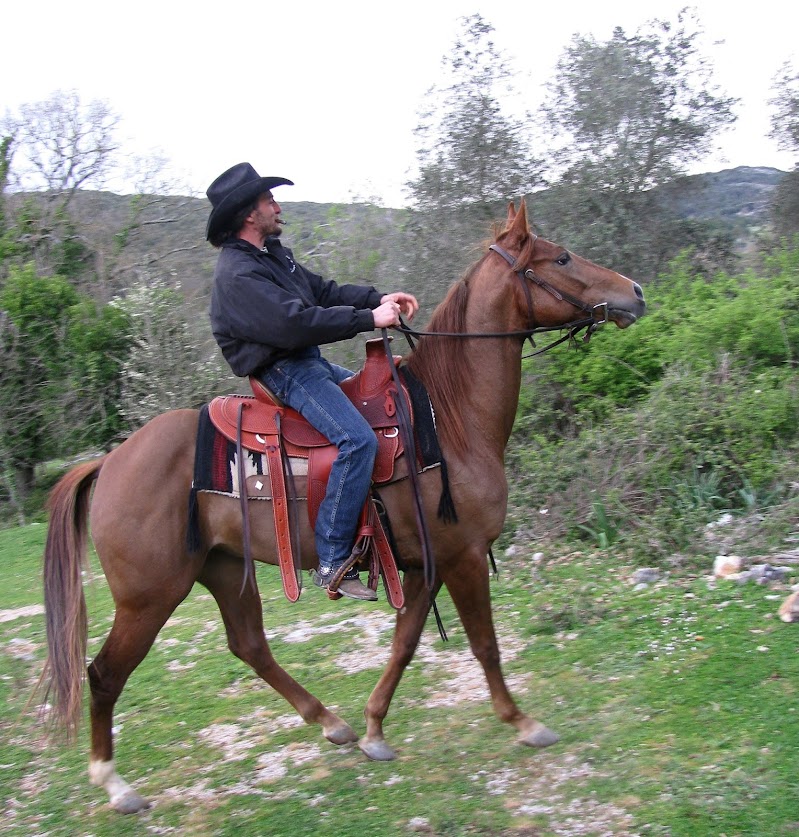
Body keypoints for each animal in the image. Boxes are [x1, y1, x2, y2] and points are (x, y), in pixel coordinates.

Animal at [40, 199, 648, 812]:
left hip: (223, 567)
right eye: (562, 257)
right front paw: (523, 722)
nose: (637, 292)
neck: (450, 418)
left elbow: (405, 644)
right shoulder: (465, 556)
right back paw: (114, 784)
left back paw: (332, 723)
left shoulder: (425, 564)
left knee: (250, 646)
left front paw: (376, 728)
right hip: (149, 597)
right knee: (104, 674)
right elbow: (485, 645)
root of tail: (110, 463)